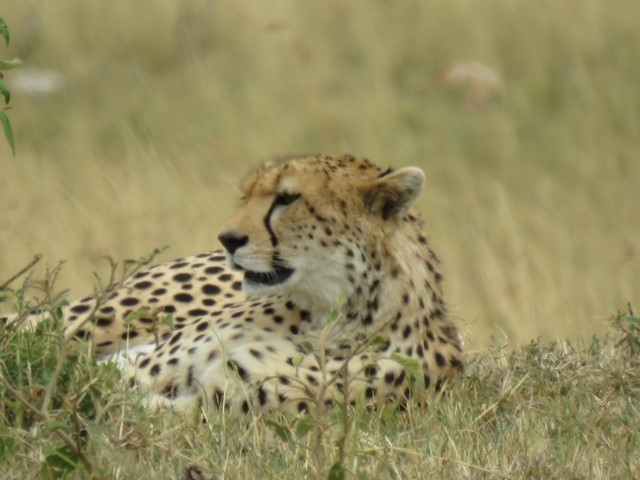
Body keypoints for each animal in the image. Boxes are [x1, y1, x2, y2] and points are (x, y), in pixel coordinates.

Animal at [1, 153, 464, 415]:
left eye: (287, 199)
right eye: (247, 195)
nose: (227, 238)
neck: (329, 318)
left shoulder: (212, 407)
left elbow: (113, 402)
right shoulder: (148, 368)